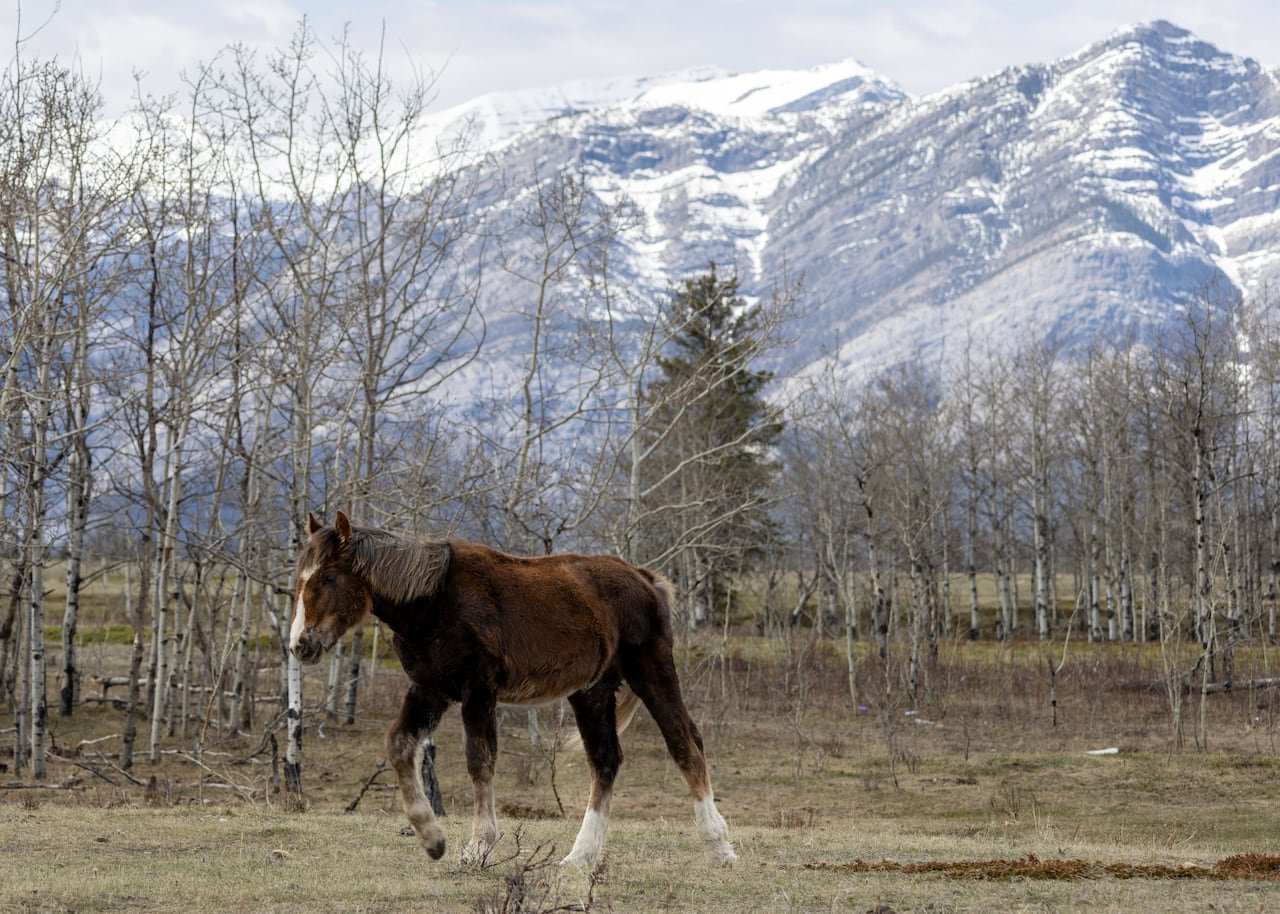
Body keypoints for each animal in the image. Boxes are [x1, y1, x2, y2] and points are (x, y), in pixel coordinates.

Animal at [289, 511, 737, 870]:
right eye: (299, 578)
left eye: (328, 577)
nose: (299, 645)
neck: (434, 601)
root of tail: (644, 579)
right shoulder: (431, 689)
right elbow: (399, 745)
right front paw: (432, 838)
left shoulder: (478, 691)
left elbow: (479, 761)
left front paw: (478, 847)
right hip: (591, 692)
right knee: (606, 761)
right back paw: (580, 856)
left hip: (652, 671)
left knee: (685, 745)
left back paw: (719, 848)